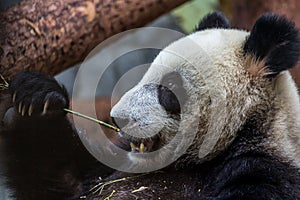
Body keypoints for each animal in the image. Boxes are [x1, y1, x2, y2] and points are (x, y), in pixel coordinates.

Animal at [0, 12, 300, 200]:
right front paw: (36, 99)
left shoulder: (265, 172)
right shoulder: (118, 164)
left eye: (170, 89)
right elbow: (64, 182)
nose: (118, 118)